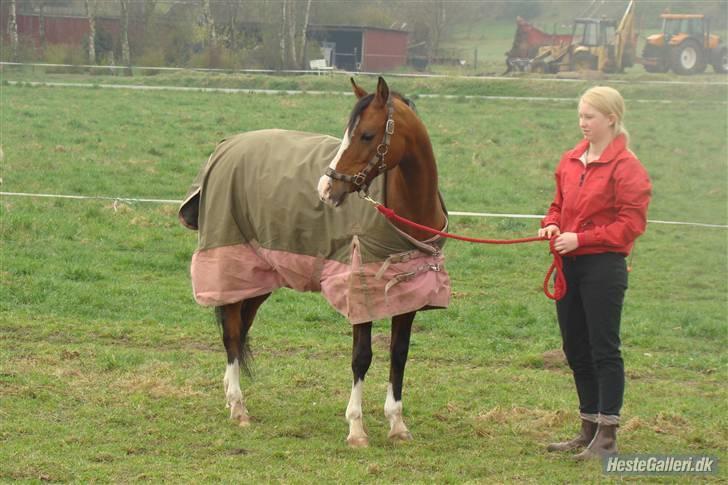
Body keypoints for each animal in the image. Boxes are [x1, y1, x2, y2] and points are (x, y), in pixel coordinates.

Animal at [179, 76, 446, 446]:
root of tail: (226, 146)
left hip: (260, 276)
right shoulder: (359, 292)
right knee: (232, 333)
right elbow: (361, 357)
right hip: (231, 266)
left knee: (241, 328)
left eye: (367, 135)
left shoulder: (408, 295)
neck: (407, 213)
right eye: (348, 133)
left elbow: (399, 354)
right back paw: (238, 406)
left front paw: (397, 424)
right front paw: (356, 428)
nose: (326, 188)